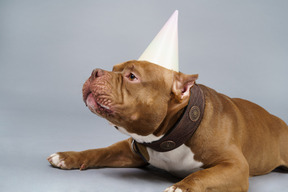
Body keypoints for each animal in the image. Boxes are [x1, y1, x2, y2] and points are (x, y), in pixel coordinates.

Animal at [47, 60, 288, 192]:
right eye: (113, 68)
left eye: (132, 76)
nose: (95, 71)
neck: (170, 136)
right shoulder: (131, 150)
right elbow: (100, 151)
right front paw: (68, 156)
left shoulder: (235, 166)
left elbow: (202, 175)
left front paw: (182, 186)